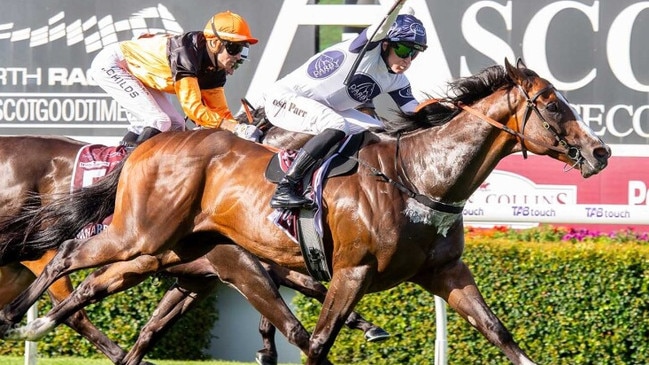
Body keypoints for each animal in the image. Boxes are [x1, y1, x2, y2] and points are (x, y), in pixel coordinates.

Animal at [0, 58, 612, 362]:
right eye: (552, 103)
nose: (600, 152)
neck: (418, 177)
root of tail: (152, 145)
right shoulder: (347, 271)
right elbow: (311, 341)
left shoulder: (445, 272)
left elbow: (500, 334)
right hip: (139, 236)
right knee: (67, 256)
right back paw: (19, 319)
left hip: (160, 252)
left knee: (92, 289)